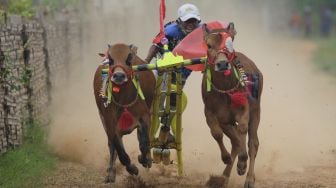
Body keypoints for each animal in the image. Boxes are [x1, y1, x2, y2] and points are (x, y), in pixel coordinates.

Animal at [92, 43, 154, 182]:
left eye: (129, 58)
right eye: (110, 59)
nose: (119, 76)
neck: (124, 101)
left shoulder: (145, 116)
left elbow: (144, 143)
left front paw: (144, 159)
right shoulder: (110, 123)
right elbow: (120, 151)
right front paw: (132, 168)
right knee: (112, 146)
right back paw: (111, 172)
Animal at [201, 24, 264, 187]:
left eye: (230, 44)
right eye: (209, 45)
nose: (222, 64)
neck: (224, 90)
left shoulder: (244, 109)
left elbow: (242, 130)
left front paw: (242, 163)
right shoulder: (212, 114)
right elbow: (218, 134)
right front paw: (227, 158)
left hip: (256, 111)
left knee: (253, 143)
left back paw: (249, 178)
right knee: (235, 141)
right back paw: (224, 176)